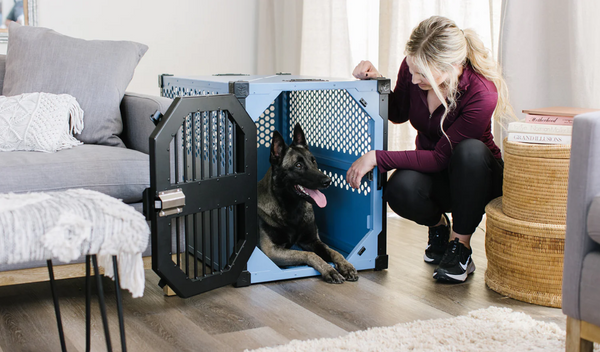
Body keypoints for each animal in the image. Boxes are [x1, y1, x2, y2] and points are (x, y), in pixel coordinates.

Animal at [256, 124, 358, 284]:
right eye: (298, 165)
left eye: (313, 161)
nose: (328, 181)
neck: (292, 207)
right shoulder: (271, 251)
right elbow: (309, 254)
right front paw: (329, 270)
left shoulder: (312, 241)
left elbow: (334, 252)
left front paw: (346, 265)